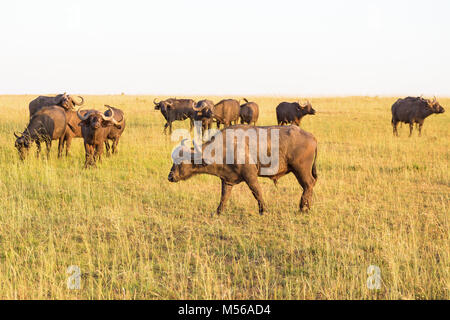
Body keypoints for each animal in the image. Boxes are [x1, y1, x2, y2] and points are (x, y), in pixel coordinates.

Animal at [167, 125, 318, 215]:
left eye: (181, 161)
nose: (170, 177)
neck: (224, 148)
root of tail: (311, 136)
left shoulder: (250, 176)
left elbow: (257, 192)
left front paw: (263, 210)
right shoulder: (227, 180)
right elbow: (224, 196)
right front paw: (218, 212)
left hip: (301, 170)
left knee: (308, 184)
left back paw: (303, 208)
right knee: (309, 185)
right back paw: (307, 207)